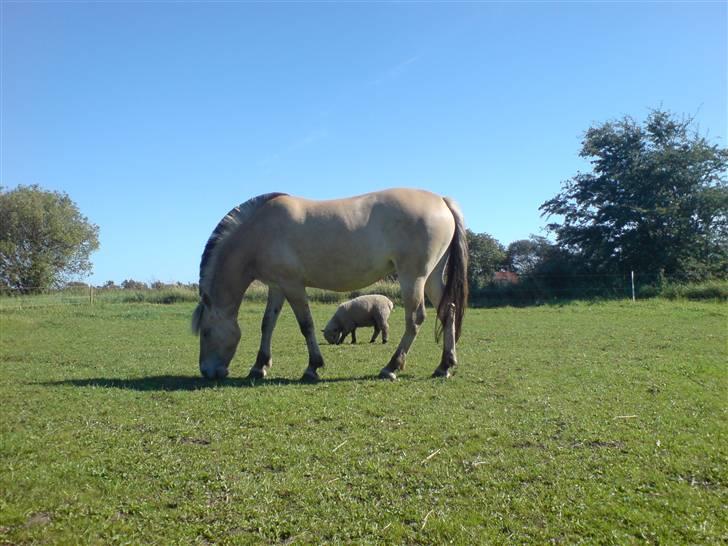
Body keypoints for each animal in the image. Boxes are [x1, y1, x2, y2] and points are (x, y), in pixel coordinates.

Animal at [191, 189, 470, 380]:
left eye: (205, 332)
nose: (207, 371)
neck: (260, 230)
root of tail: (442, 201)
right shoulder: (277, 286)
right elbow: (267, 324)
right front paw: (259, 367)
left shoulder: (293, 285)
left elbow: (306, 325)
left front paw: (312, 367)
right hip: (431, 277)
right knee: (448, 311)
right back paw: (444, 366)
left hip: (413, 277)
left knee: (415, 318)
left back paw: (391, 367)